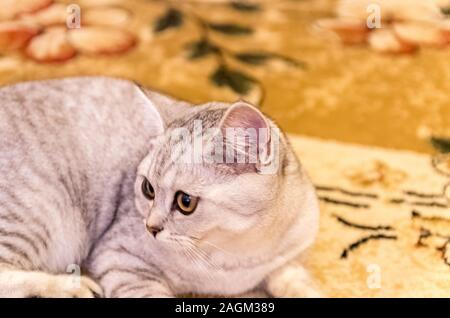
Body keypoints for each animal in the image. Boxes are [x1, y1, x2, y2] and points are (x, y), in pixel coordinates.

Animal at [0, 77, 320, 298]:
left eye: (185, 202)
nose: (150, 227)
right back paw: (69, 286)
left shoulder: (288, 261)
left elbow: (298, 283)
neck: (241, 256)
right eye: (148, 189)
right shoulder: (119, 257)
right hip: (40, 213)